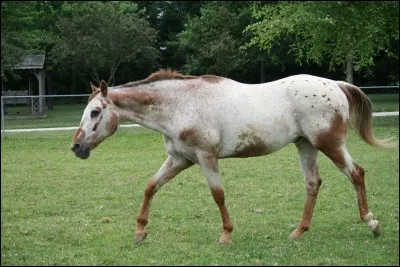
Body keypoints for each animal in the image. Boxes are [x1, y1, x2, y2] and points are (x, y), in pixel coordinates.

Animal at [72, 69, 394, 245]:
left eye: (96, 112)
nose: (76, 147)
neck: (182, 105)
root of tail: (335, 85)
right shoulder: (179, 159)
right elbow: (151, 186)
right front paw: (140, 232)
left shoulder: (206, 158)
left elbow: (218, 195)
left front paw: (226, 235)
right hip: (306, 146)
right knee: (313, 184)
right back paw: (298, 232)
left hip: (330, 144)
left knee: (357, 174)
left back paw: (372, 224)